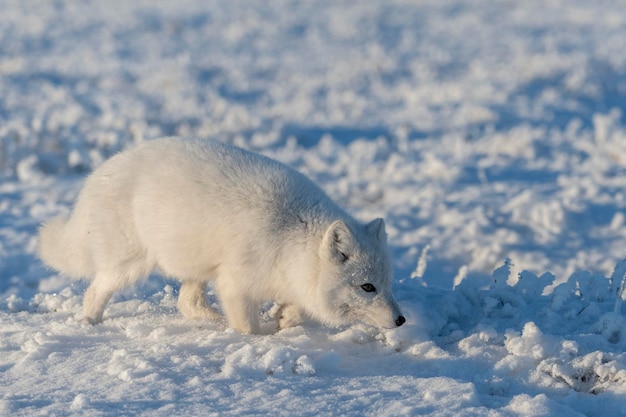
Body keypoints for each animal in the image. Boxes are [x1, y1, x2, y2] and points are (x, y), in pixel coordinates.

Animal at [37, 138, 404, 334]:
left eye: (387, 284)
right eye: (367, 287)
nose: (401, 319)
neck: (290, 234)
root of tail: (98, 173)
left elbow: (296, 307)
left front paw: (286, 317)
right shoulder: (235, 283)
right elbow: (249, 327)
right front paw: (260, 335)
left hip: (196, 265)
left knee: (187, 303)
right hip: (130, 265)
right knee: (95, 290)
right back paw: (90, 322)